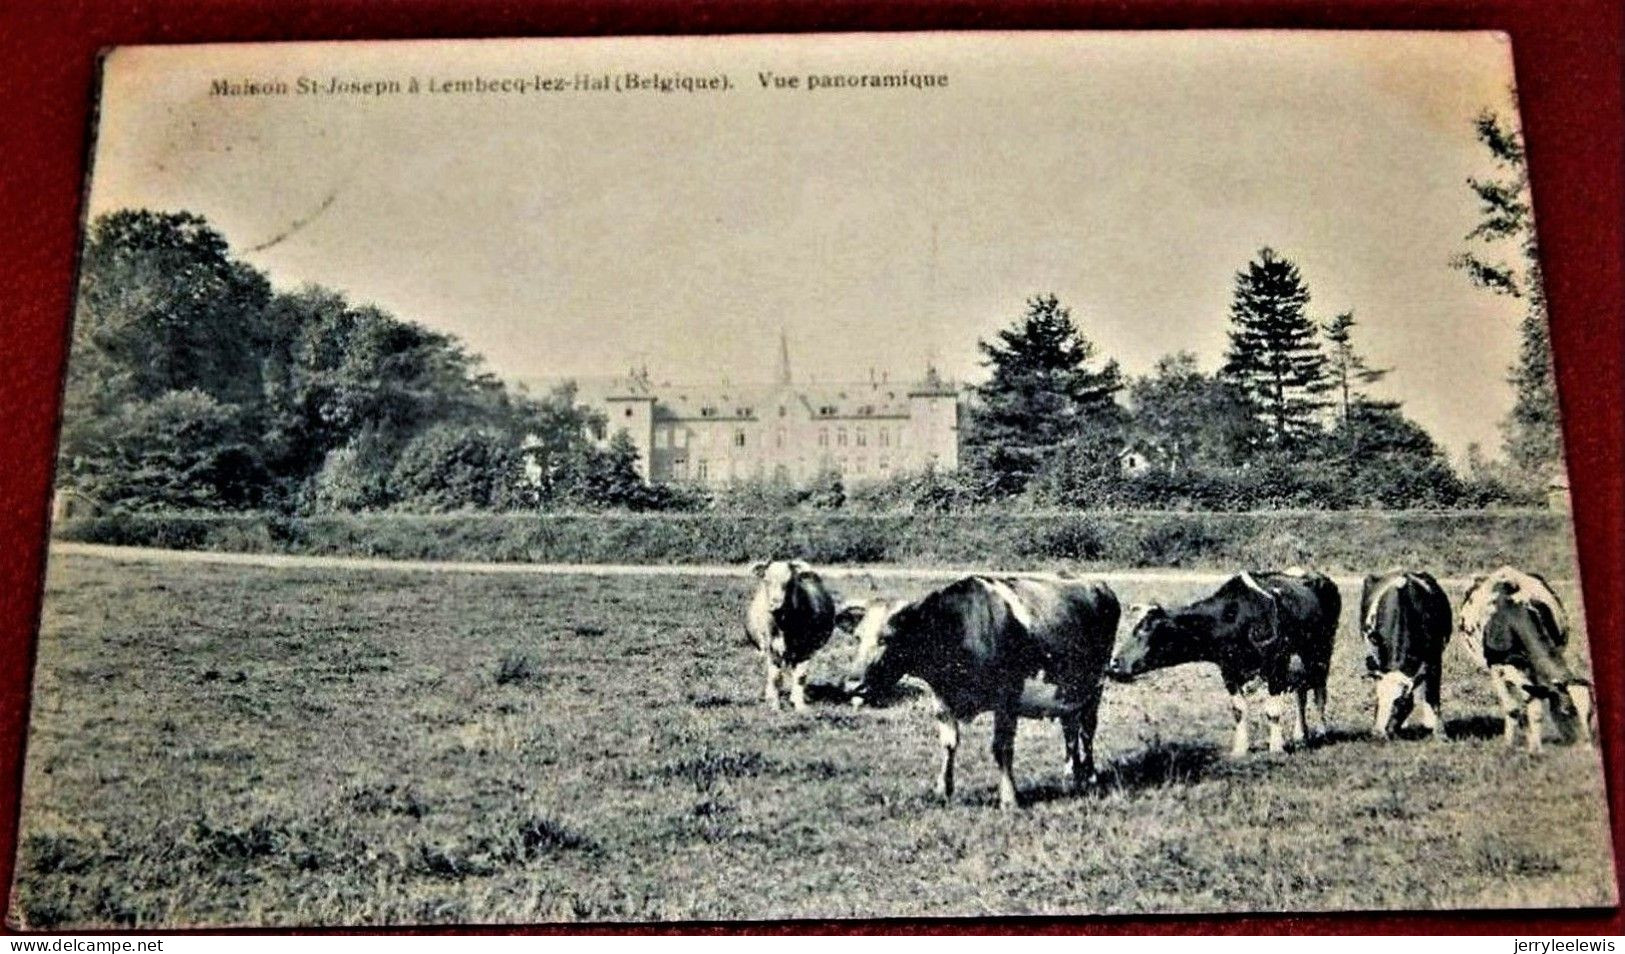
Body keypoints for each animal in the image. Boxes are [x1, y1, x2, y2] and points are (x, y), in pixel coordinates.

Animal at [744, 559, 832, 708]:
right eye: (766, 580)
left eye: (790, 582)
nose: (776, 604)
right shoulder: (771, 648)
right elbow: (774, 676)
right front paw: (774, 704)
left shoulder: (806, 649)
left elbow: (800, 675)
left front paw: (799, 704)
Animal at [838, 575, 1118, 812]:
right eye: (857, 637)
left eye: (887, 638)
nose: (853, 685)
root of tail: (1095, 583)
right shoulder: (942, 700)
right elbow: (949, 744)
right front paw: (943, 789)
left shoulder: (1007, 698)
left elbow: (1002, 748)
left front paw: (1009, 798)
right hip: (1067, 690)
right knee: (1070, 728)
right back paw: (1070, 774)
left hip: (1096, 685)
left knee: (1087, 729)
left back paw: (1090, 776)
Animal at [1105, 572, 1345, 757]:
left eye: (1146, 630)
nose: (1114, 664)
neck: (1237, 615)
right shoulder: (1228, 669)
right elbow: (1239, 710)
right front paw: (1240, 749)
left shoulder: (1276, 662)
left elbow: (1273, 711)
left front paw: (1276, 748)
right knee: (1301, 694)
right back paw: (1300, 734)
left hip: (1322, 651)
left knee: (1319, 692)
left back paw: (1321, 732)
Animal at [1352, 572, 1456, 744]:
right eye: (1378, 698)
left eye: (1399, 702)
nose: (1378, 734)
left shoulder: (1435, 659)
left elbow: (1432, 696)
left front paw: (1440, 733)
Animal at [1456, 568, 1592, 754]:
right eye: (1568, 711)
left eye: (1591, 713)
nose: (1587, 747)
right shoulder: (1496, 668)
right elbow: (1512, 709)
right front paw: (1510, 745)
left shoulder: (1540, 669)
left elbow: (1537, 708)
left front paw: (1536, 748)